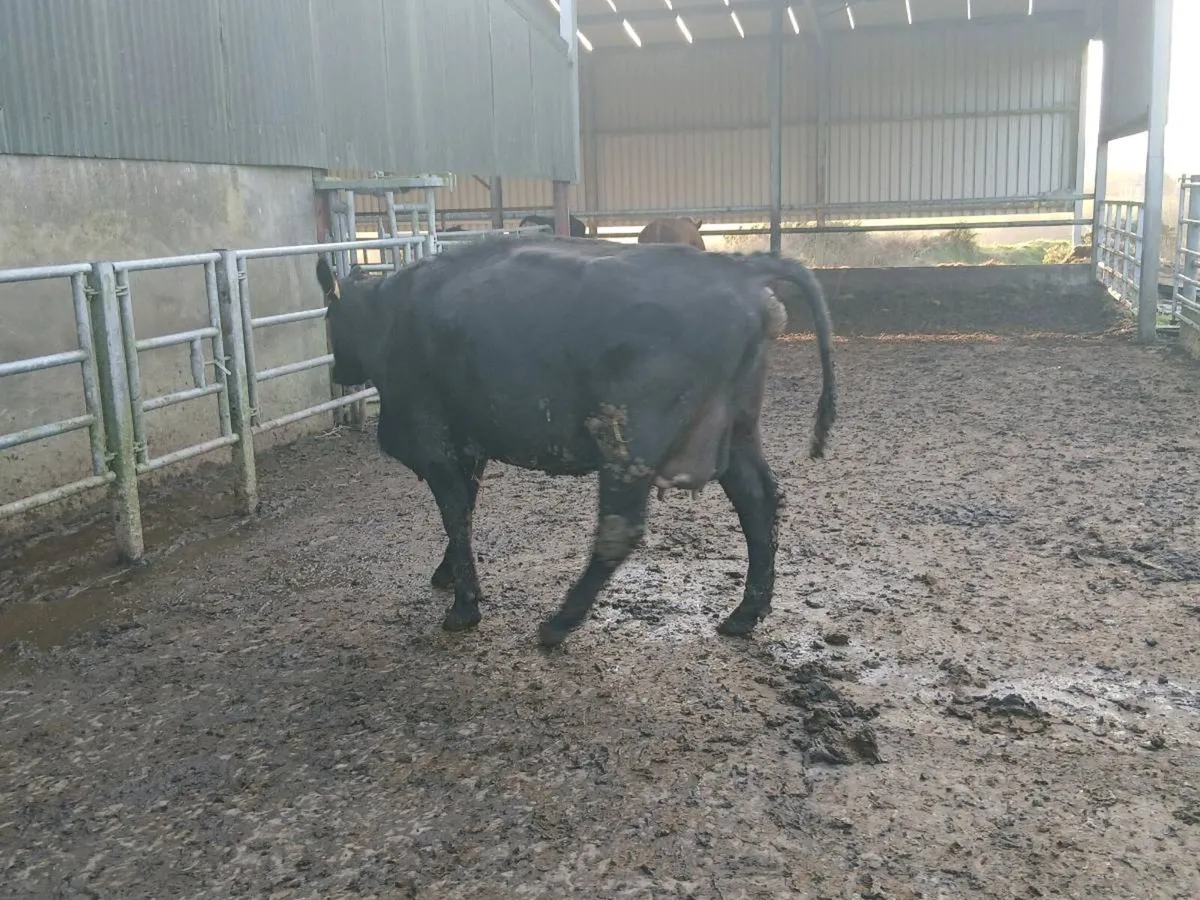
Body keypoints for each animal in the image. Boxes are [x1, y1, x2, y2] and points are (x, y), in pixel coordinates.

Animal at [315, 234, 835, 648]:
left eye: (330, 316)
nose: (338, 371)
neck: (387, 314)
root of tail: (738, 268)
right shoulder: (469, 444)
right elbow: (466, 509)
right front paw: (449, 575)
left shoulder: (433, 444)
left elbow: (455, 515)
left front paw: (464, 606)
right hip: (738, 429)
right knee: (759, 501)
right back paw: (746, 612)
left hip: (630, 441)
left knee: (619, 528)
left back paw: (560, 622)